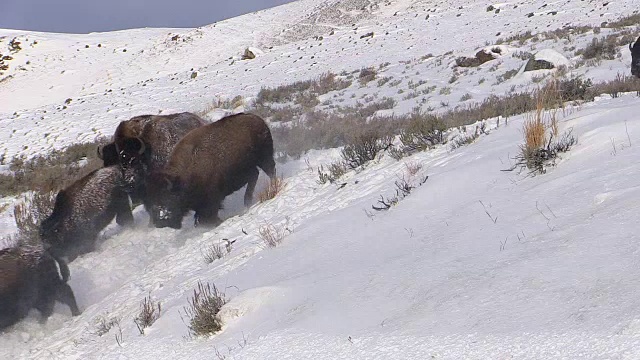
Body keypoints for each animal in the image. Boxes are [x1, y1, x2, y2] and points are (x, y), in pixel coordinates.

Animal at [146, 113, 276, 228]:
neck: (182, 178)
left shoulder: (211, 201)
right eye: (152, 198)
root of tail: (257, 118)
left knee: (270, 172)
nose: (160, 221)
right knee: (255, 175)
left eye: (168, 196)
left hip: (264, 158)